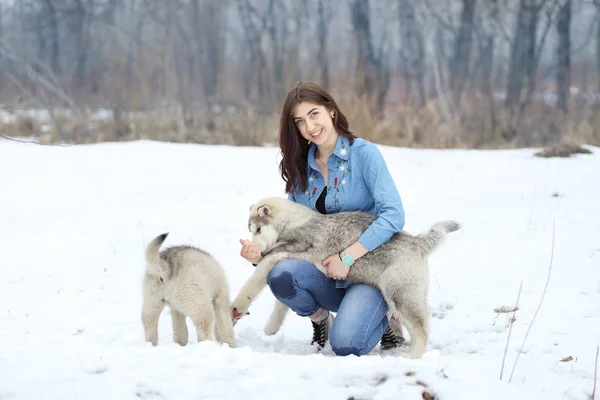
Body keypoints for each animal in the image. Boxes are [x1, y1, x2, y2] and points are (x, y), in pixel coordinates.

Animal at [230, 197, 460, 360]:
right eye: (252, 231)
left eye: (258, 229)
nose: (256, 249)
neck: (295, 222)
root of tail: (417, 242)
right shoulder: (286, 259)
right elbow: (280, 297)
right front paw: (272, 325)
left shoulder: (287, 254)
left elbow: (256, 279)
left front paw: (237, 307)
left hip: (401, 293)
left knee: (421, 328)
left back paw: (413, 356)